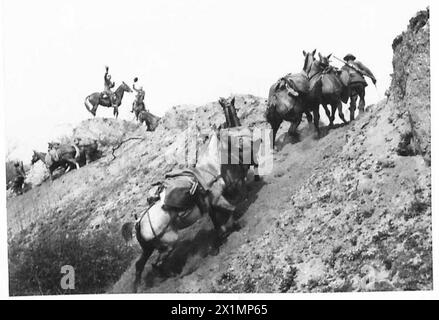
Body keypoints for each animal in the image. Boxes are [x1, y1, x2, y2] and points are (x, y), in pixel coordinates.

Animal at [122, 127, 248, 292]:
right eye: (228, 138)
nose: (240, 147)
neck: (208, 171)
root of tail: (138, 223)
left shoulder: (210, 206)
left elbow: (217, 222)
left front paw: (222, 235)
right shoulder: (217, 199)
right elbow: (231, 209)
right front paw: (237, 225)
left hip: (148, 249)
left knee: (139, 265)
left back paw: (138, 287)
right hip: (169, 242)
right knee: (156, 264)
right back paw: (174, 275)